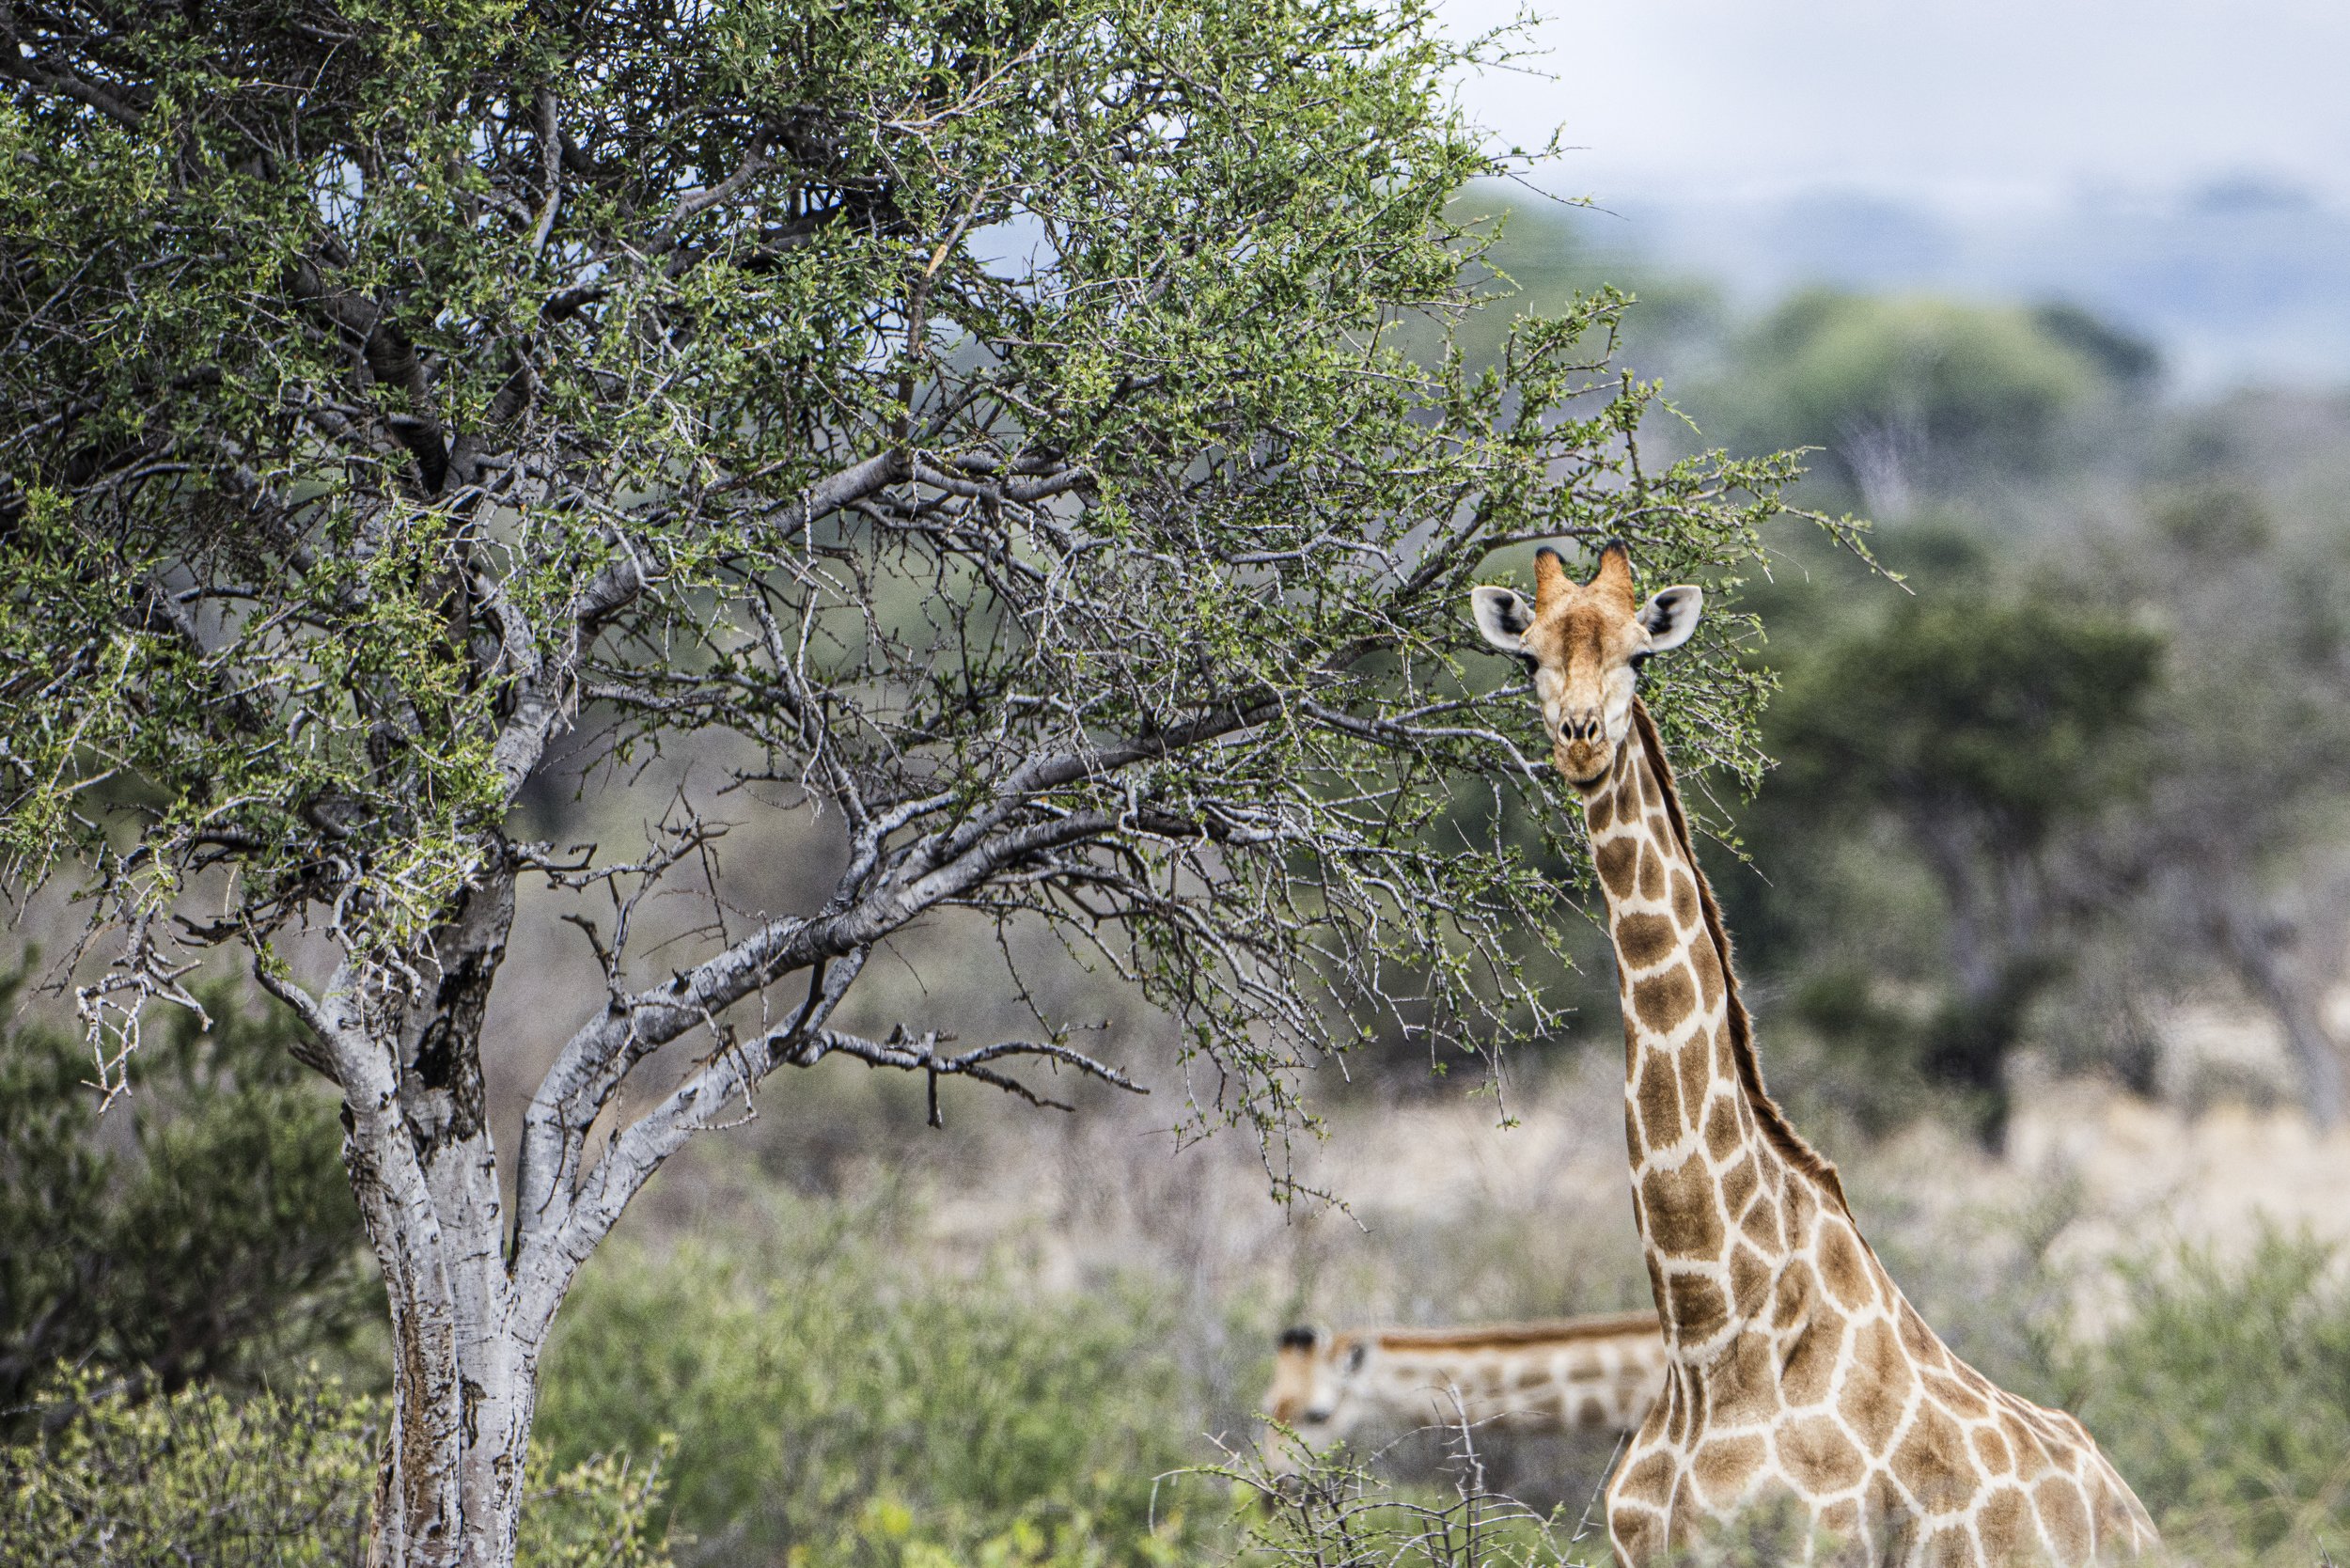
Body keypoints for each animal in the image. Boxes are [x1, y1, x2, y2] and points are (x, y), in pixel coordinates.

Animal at [1467, 544, 2160, 1566]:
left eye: (1640, 657)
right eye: (1528, 661)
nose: (1581, 742)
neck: (1706, 1327)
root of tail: (2132, 1509)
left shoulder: (1811, 1546)